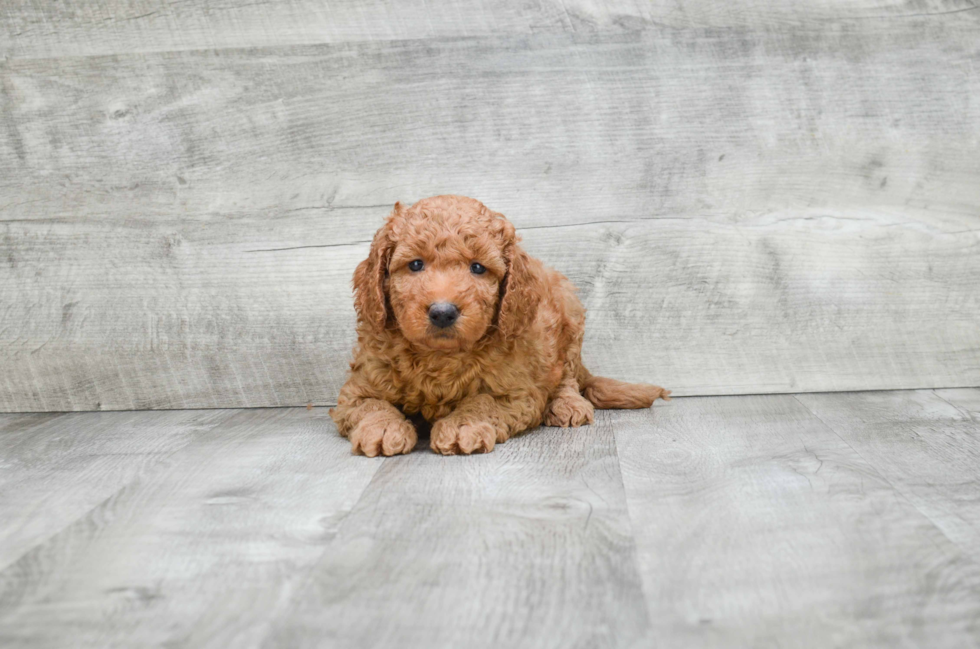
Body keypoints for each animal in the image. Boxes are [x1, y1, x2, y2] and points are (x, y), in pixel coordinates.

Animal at [334, 195, 668, 454]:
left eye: (478, 268)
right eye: (415, 264)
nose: (443, 312)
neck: (440, 357)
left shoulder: (518, 392)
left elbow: (484, 402)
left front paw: (462, 425)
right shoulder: (359, 386)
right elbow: (371, 405)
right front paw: (382, 429)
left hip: (570, 314)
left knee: (567, 377)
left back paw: (567, 405)